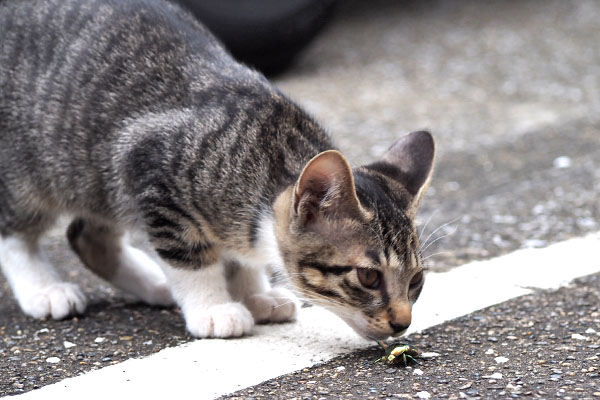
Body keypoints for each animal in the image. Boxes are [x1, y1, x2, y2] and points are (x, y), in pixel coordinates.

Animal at [0, 0, 434, 340]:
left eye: (416, 280)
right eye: (368, 277)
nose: (402, 324)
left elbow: (239, 257)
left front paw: (253, 292)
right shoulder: (152, 170)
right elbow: (191, 258)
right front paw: (213, 308)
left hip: (97, 178)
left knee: (87, 235)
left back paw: (152, 283)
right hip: (37, 167)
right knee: (17, 230)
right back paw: (44, 289)